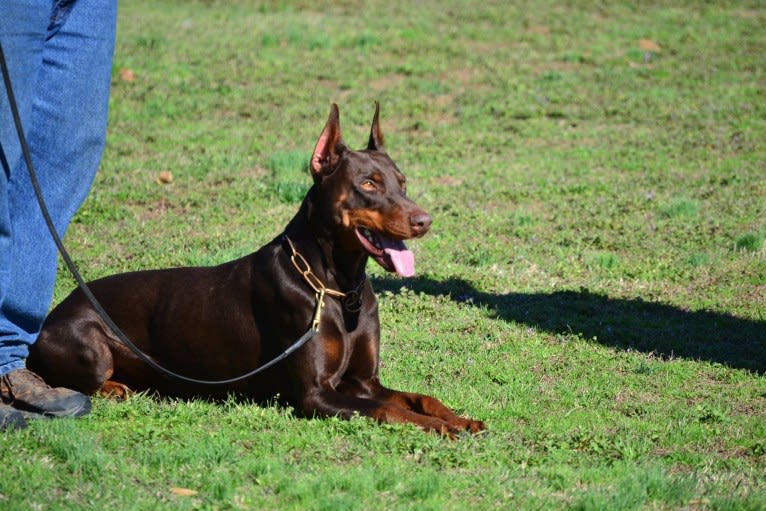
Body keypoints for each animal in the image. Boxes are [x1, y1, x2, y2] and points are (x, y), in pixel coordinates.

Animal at [31, 103, 486, 436]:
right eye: (368, 184)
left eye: (402, 182)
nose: (424, 220)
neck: (336, 286)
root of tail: (52, 315)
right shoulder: (316, 395)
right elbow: (392, 411)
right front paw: (444, 428)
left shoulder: (363, 382)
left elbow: (418, 398)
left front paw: (460, 419)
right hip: (90, 348)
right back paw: (113, 387)